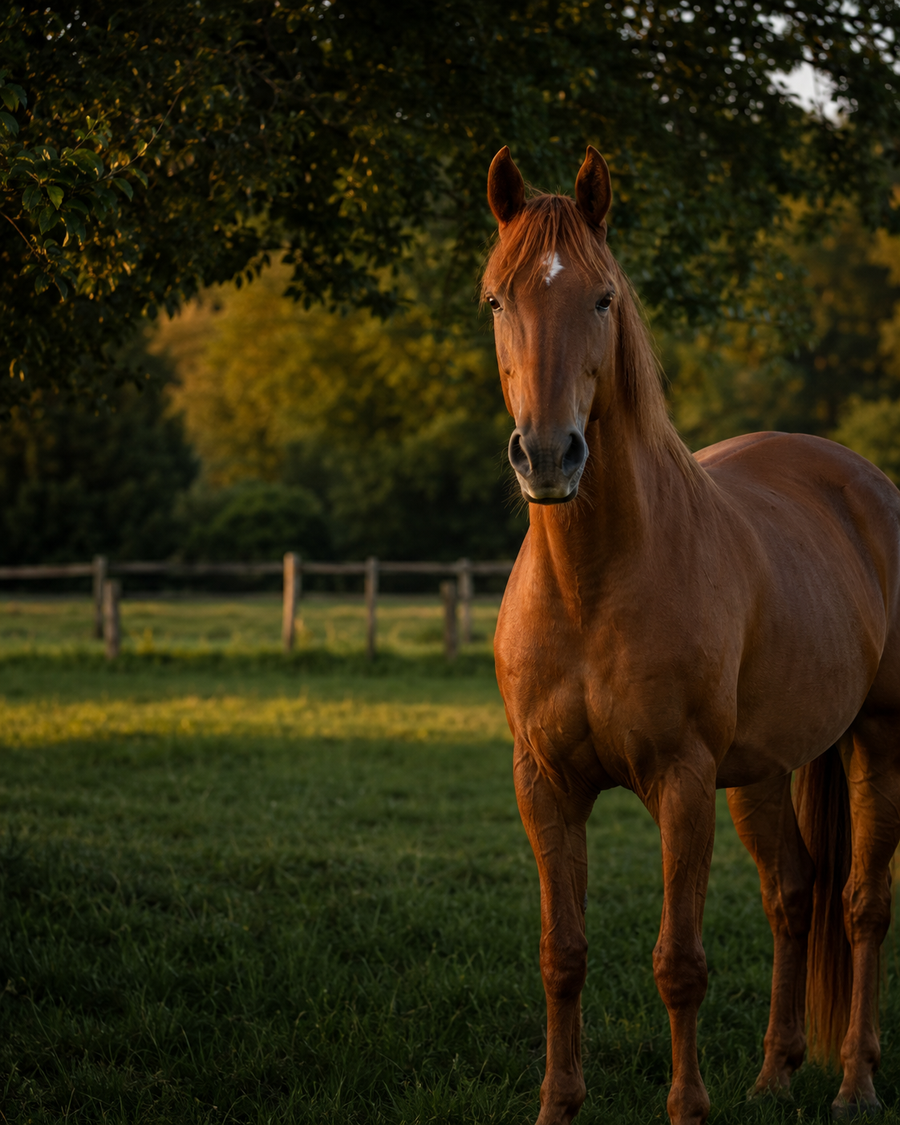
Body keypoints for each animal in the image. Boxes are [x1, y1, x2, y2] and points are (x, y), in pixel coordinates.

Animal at [486, 144, 900, 1125]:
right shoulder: (545, 783)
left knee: (863, 904)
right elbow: (563, 954)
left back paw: (855, 1083)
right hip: (762, 771)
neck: (593, 585)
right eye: (496, 299)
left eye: (603, 298)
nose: (548, 455)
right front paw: (558, 1104)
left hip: (878, 740)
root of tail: (864, 482)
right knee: (795, 895)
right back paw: (774, 1073)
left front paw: (687, 1105)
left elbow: (679, 962)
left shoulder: (682, 781)